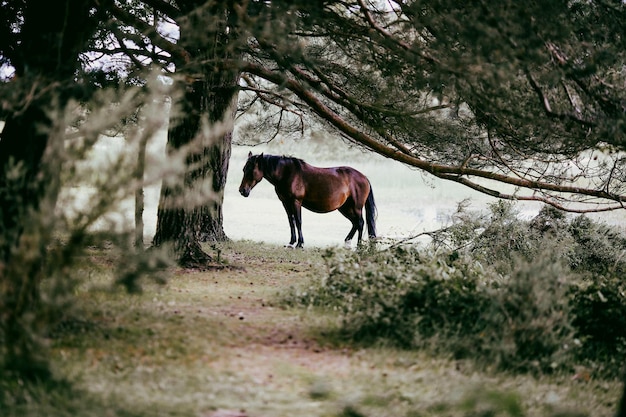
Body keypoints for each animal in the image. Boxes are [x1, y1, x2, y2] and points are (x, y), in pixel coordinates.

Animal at [239, 154, 376, 249]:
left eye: (251, 170)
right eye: (244, 169)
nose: (242, 191)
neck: (287, 173)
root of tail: (364, 178)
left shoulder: (296, 202)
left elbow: (299, 221)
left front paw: (300, 243)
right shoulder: (286, 203)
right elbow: (291, 221)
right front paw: (291, 242)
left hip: (356, 207)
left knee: (360, 223)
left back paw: (359, 246)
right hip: (345, 208)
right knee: (355, 223)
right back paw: (347, 242)